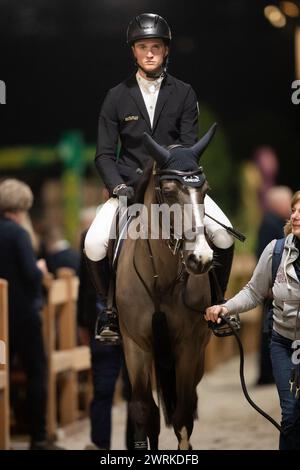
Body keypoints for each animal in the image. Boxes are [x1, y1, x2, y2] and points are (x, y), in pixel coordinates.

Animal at [116, 124, 217, 448]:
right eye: (170, 192)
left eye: (205, 191)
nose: (200, 258)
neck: (160, 277)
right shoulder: (136, 347)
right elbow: (144, 411)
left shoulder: (188, 347)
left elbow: (183, 414)